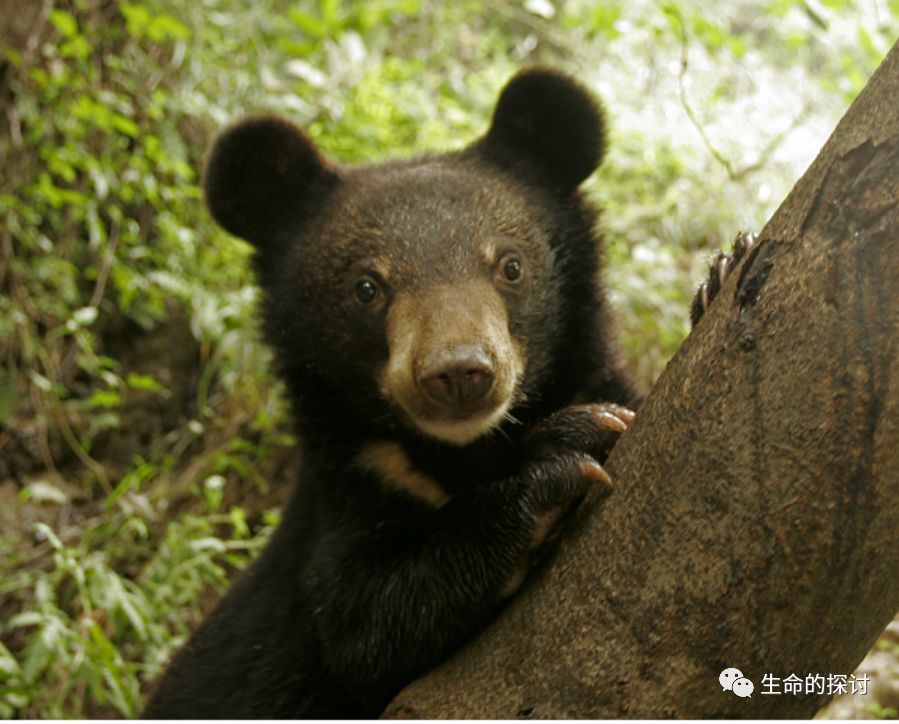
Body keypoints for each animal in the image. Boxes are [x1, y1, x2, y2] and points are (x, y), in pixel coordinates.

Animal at [144, 68, 644, 720]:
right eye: (366, 287)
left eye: (510, 266)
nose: (459, 373)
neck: (459, 452)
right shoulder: (358, 480)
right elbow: (364, 624)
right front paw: (561, 457)